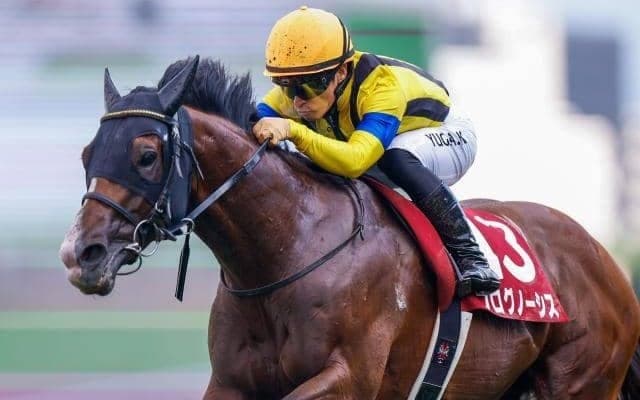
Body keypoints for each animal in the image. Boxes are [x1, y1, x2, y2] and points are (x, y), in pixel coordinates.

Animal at [59, 56, 640, 399]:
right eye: (87, 154)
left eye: (146, 155)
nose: (80, 253)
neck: (287, 249)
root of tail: (605, 259)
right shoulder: (230, 383)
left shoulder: (351, 377)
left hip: (581, 382)